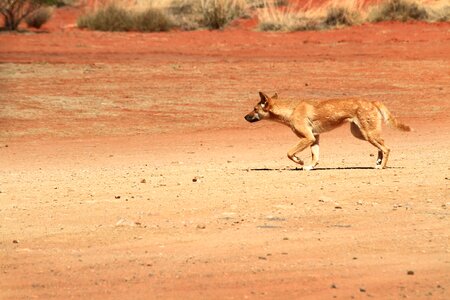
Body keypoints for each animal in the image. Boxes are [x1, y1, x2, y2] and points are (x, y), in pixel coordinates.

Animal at [244, 92, 410, 169]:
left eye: (255, 109)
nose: (245, 117)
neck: (291, 110)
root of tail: (372, 101)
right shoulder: (314, 137)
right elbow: (315, 156)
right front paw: (310, 167)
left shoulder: (307, 137)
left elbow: (289, 153)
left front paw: (300, 161)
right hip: (361, 134)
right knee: (381, 146)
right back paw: (378, 162)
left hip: (367, 133)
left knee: (386, 148)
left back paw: (381, 166)